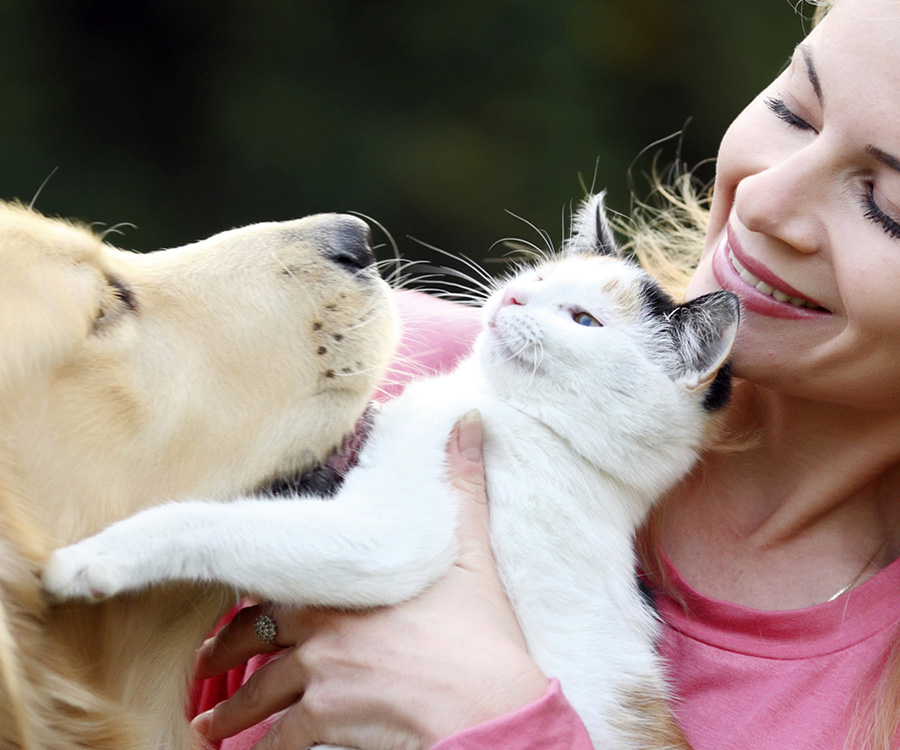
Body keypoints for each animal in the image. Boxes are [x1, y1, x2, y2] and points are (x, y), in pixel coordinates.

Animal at [44, 195, 740, 750]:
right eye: (540, 278)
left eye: (584, 321)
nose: (514, 296)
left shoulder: (395, 539)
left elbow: (218, 524)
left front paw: (93, 558)